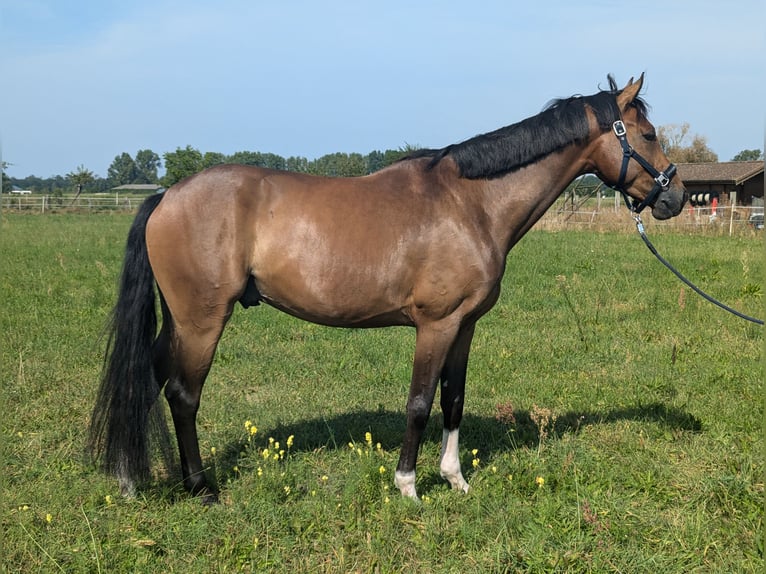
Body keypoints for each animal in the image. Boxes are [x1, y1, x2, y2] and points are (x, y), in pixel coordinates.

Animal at [88, 74, 688, 502]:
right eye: (649, 135)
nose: (675, 197)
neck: (471, 203)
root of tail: (166, 195)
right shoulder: (435, 324)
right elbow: (420, 403)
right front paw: (408, 486)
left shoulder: (464, 326)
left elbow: (453, 399)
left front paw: (455, 479)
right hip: (202, 320)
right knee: (183, 394)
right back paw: (199, 487)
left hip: (180, 321)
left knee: (150, 376)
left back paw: (133, 476)